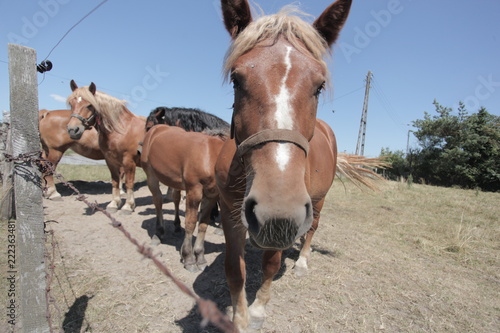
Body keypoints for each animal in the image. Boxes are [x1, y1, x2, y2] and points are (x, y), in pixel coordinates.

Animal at [65, 80, 146, 213]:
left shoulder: (129, 161)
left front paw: (128, 206)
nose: (73, 130)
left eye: (90, 105)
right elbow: (115, 182)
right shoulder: (110, 161)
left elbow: (129, 183)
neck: (122, 129)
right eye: (71, 104)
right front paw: (114, 204)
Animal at [141, 124, 227, 272]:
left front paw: (200, 257)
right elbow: (191, 223)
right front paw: (189, 258)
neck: (211, 156)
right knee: (158, 201)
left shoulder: (211, 195)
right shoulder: (194, 191)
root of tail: (156, 129)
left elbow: (203, 224)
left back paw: (176, 227)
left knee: (175, 199)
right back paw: (158, 233)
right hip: (151, 175)